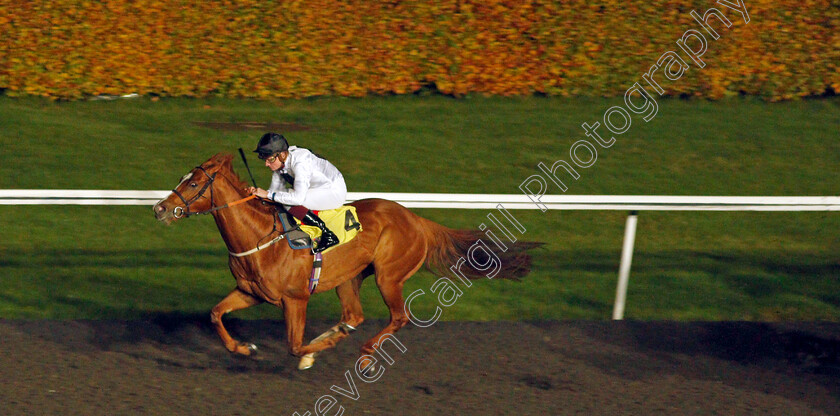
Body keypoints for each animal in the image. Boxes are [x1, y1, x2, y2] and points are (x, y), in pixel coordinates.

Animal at [153, 154, 540, 368]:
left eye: (194, 184)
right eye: (182, 179)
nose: (159, 209)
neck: (260, 237)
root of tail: (417, 219)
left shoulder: (295, 298)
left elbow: (295, 346)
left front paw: (311, 353)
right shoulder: (251, 292)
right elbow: (216, 314)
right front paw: (243, 347)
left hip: (388, 276)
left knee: (398, 317)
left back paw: (366, 353)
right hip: (349, 277)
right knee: (353, 315)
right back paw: (341, 331)